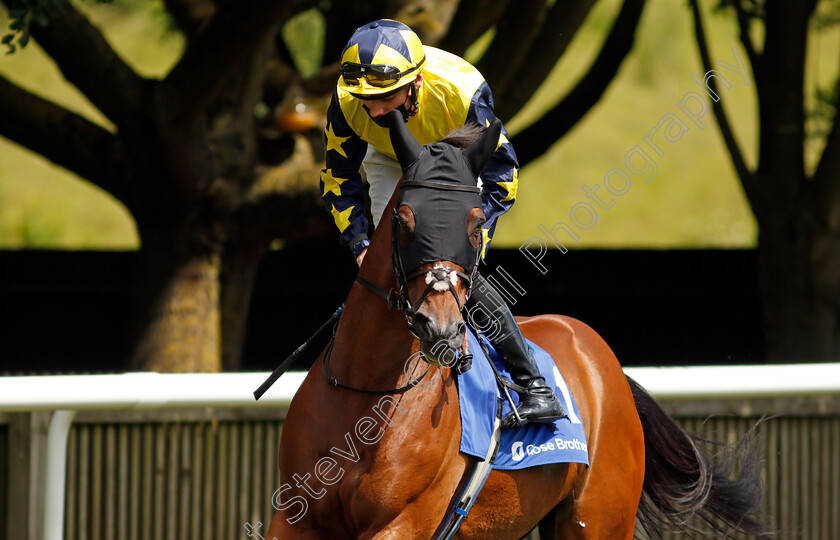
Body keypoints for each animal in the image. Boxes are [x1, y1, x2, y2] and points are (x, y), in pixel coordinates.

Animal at [266, 112, 764, 536]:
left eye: (472, 225)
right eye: (405, 220)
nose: (440, 328)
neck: (367, 391)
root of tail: (605, 362)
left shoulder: (400, 523)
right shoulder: (294, 518)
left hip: (598, 518)